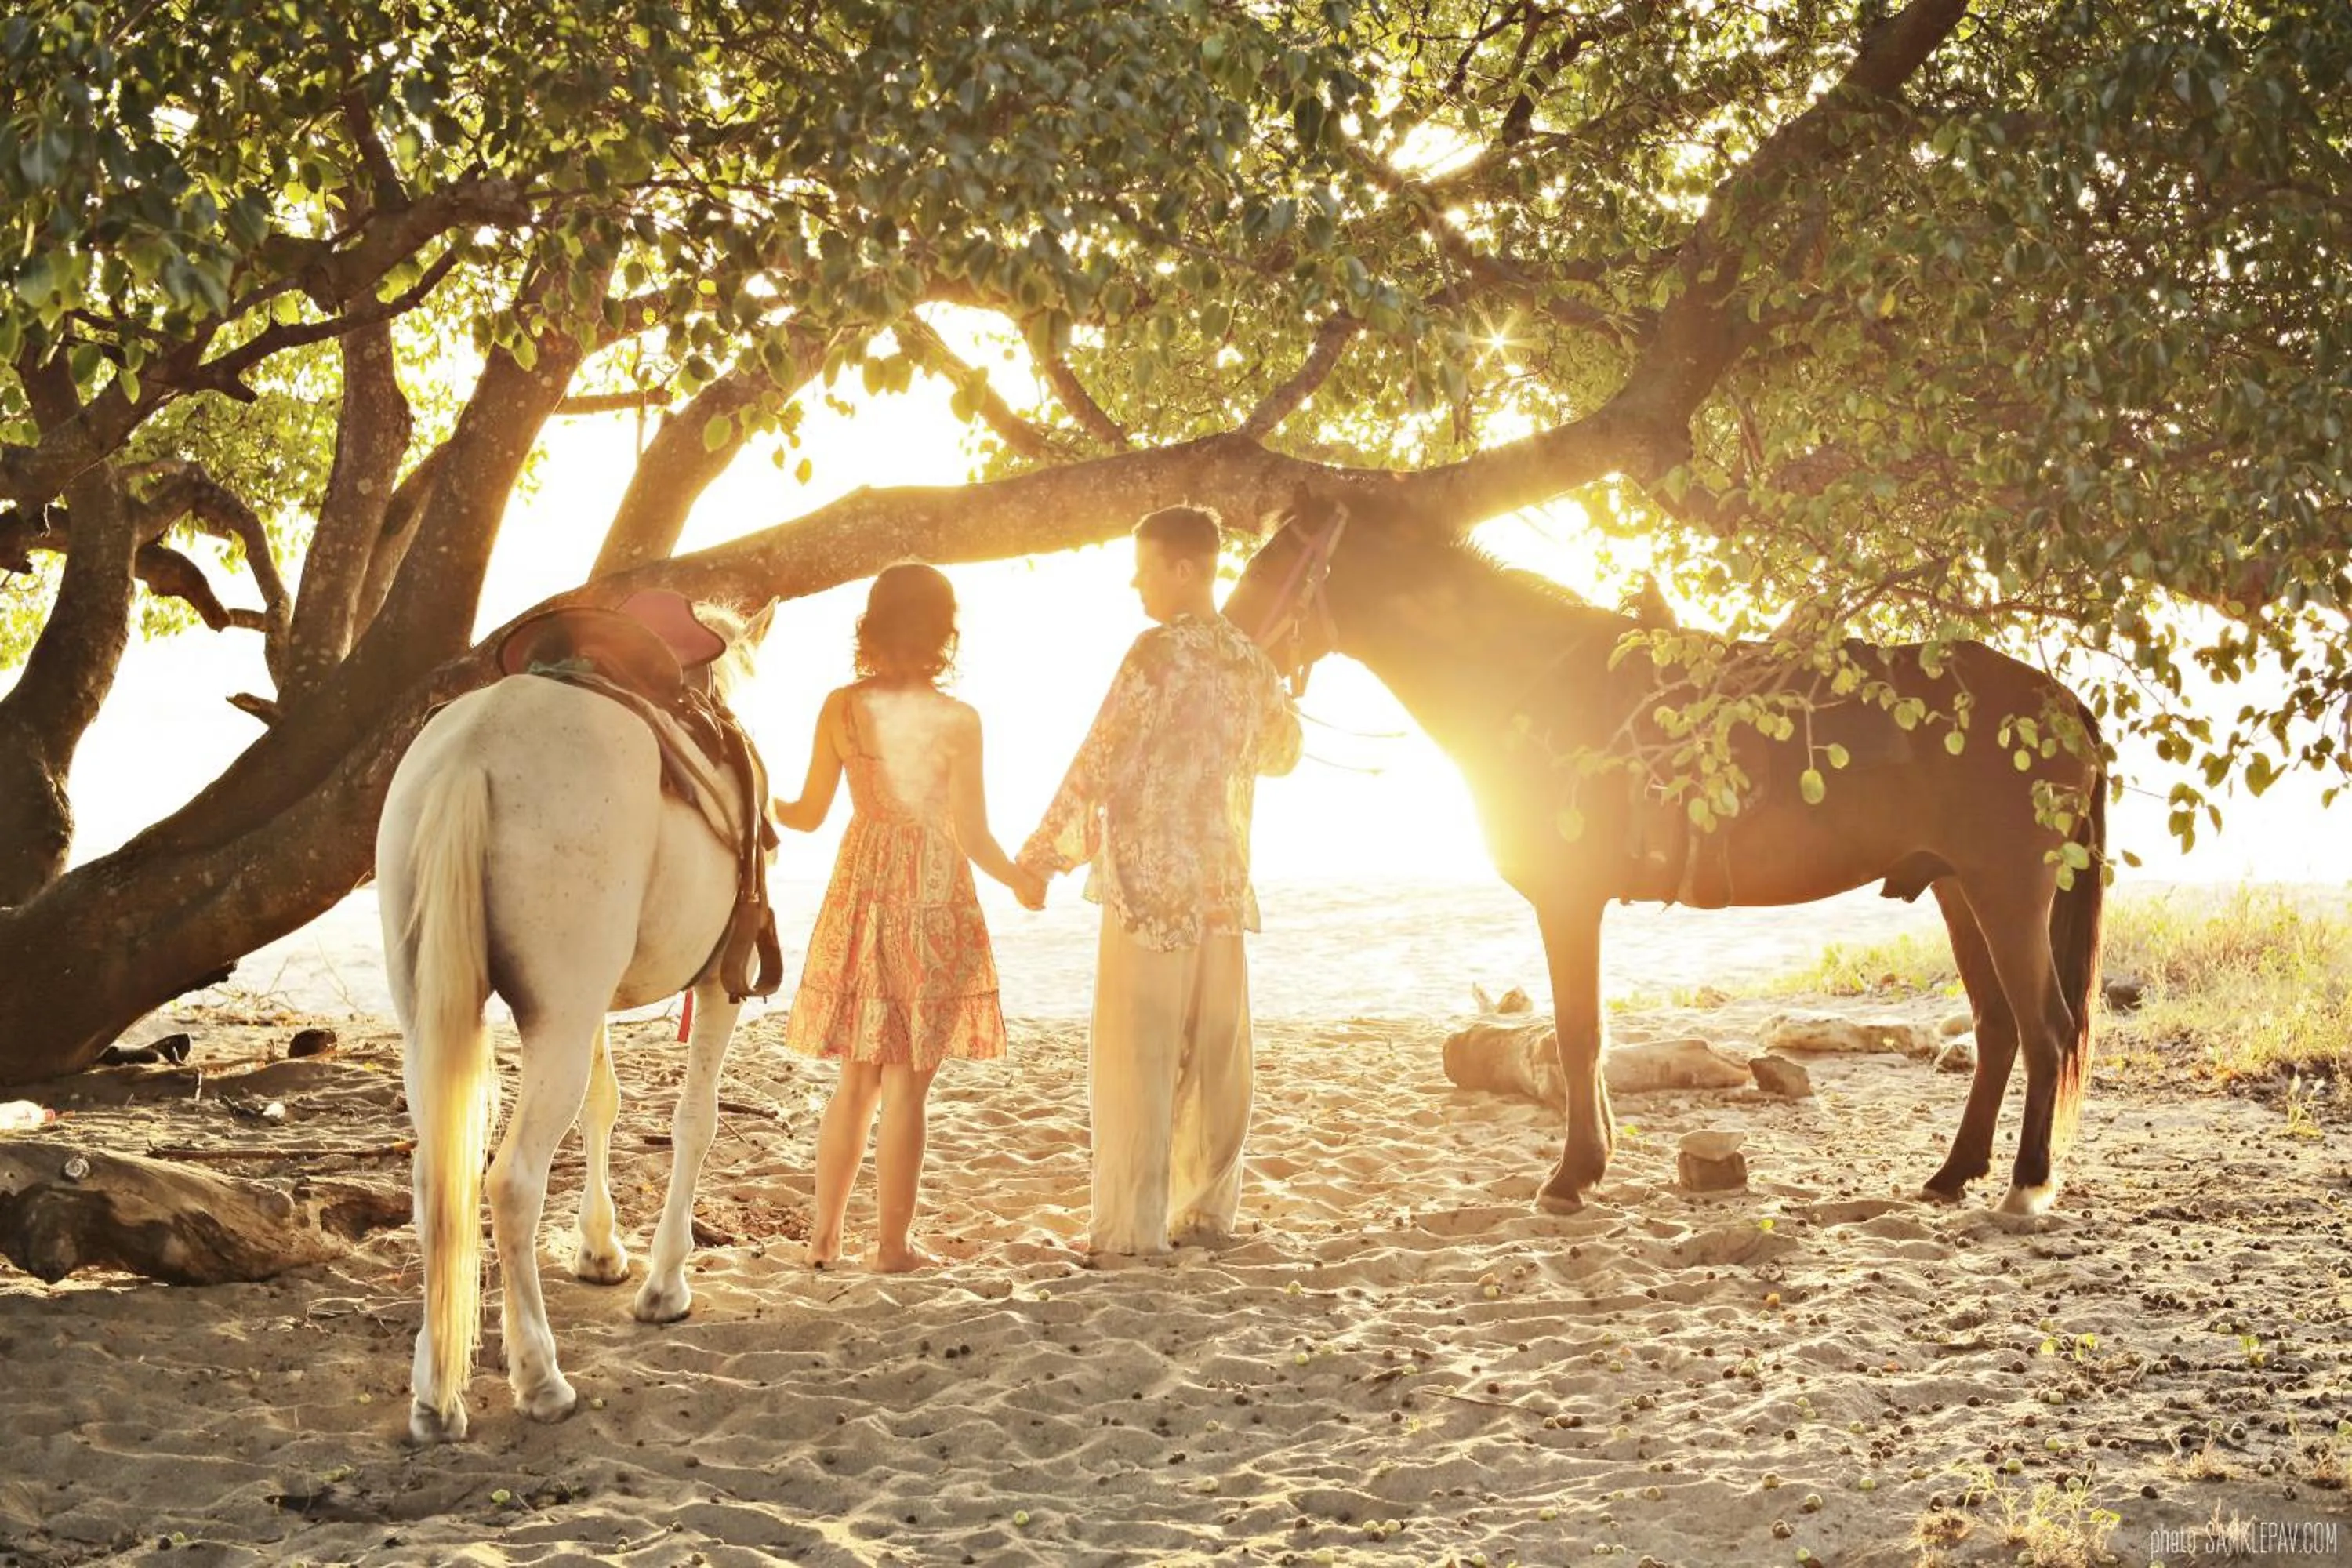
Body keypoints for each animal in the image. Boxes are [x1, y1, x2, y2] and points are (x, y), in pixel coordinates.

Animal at [377, 594, 774, 1443]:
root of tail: (473, 750)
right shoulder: (721, 984)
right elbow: (695, 1121)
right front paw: (664, 1282)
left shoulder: (594, 1002)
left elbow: (604, 1103)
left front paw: (599, 1248)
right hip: (555, 1018)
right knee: (511, 1181)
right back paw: (539, 1375)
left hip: (435, 1016)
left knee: (436, 1180)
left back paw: (434, 1393)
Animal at [1223, 494, 2105, 1220]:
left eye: (1271, 563)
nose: (1221, 636)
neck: (1535, 688)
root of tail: (2061, 702)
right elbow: (1587, 1036)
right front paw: (1592, 1163)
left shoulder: (1569, 901)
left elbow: (1579, 1034)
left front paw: (1572, 1175)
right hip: (1961, 892)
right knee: (1997, 1028)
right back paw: (1953, 1173)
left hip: (2007, 894)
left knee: (2045, 1028)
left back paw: (2027, 1185)